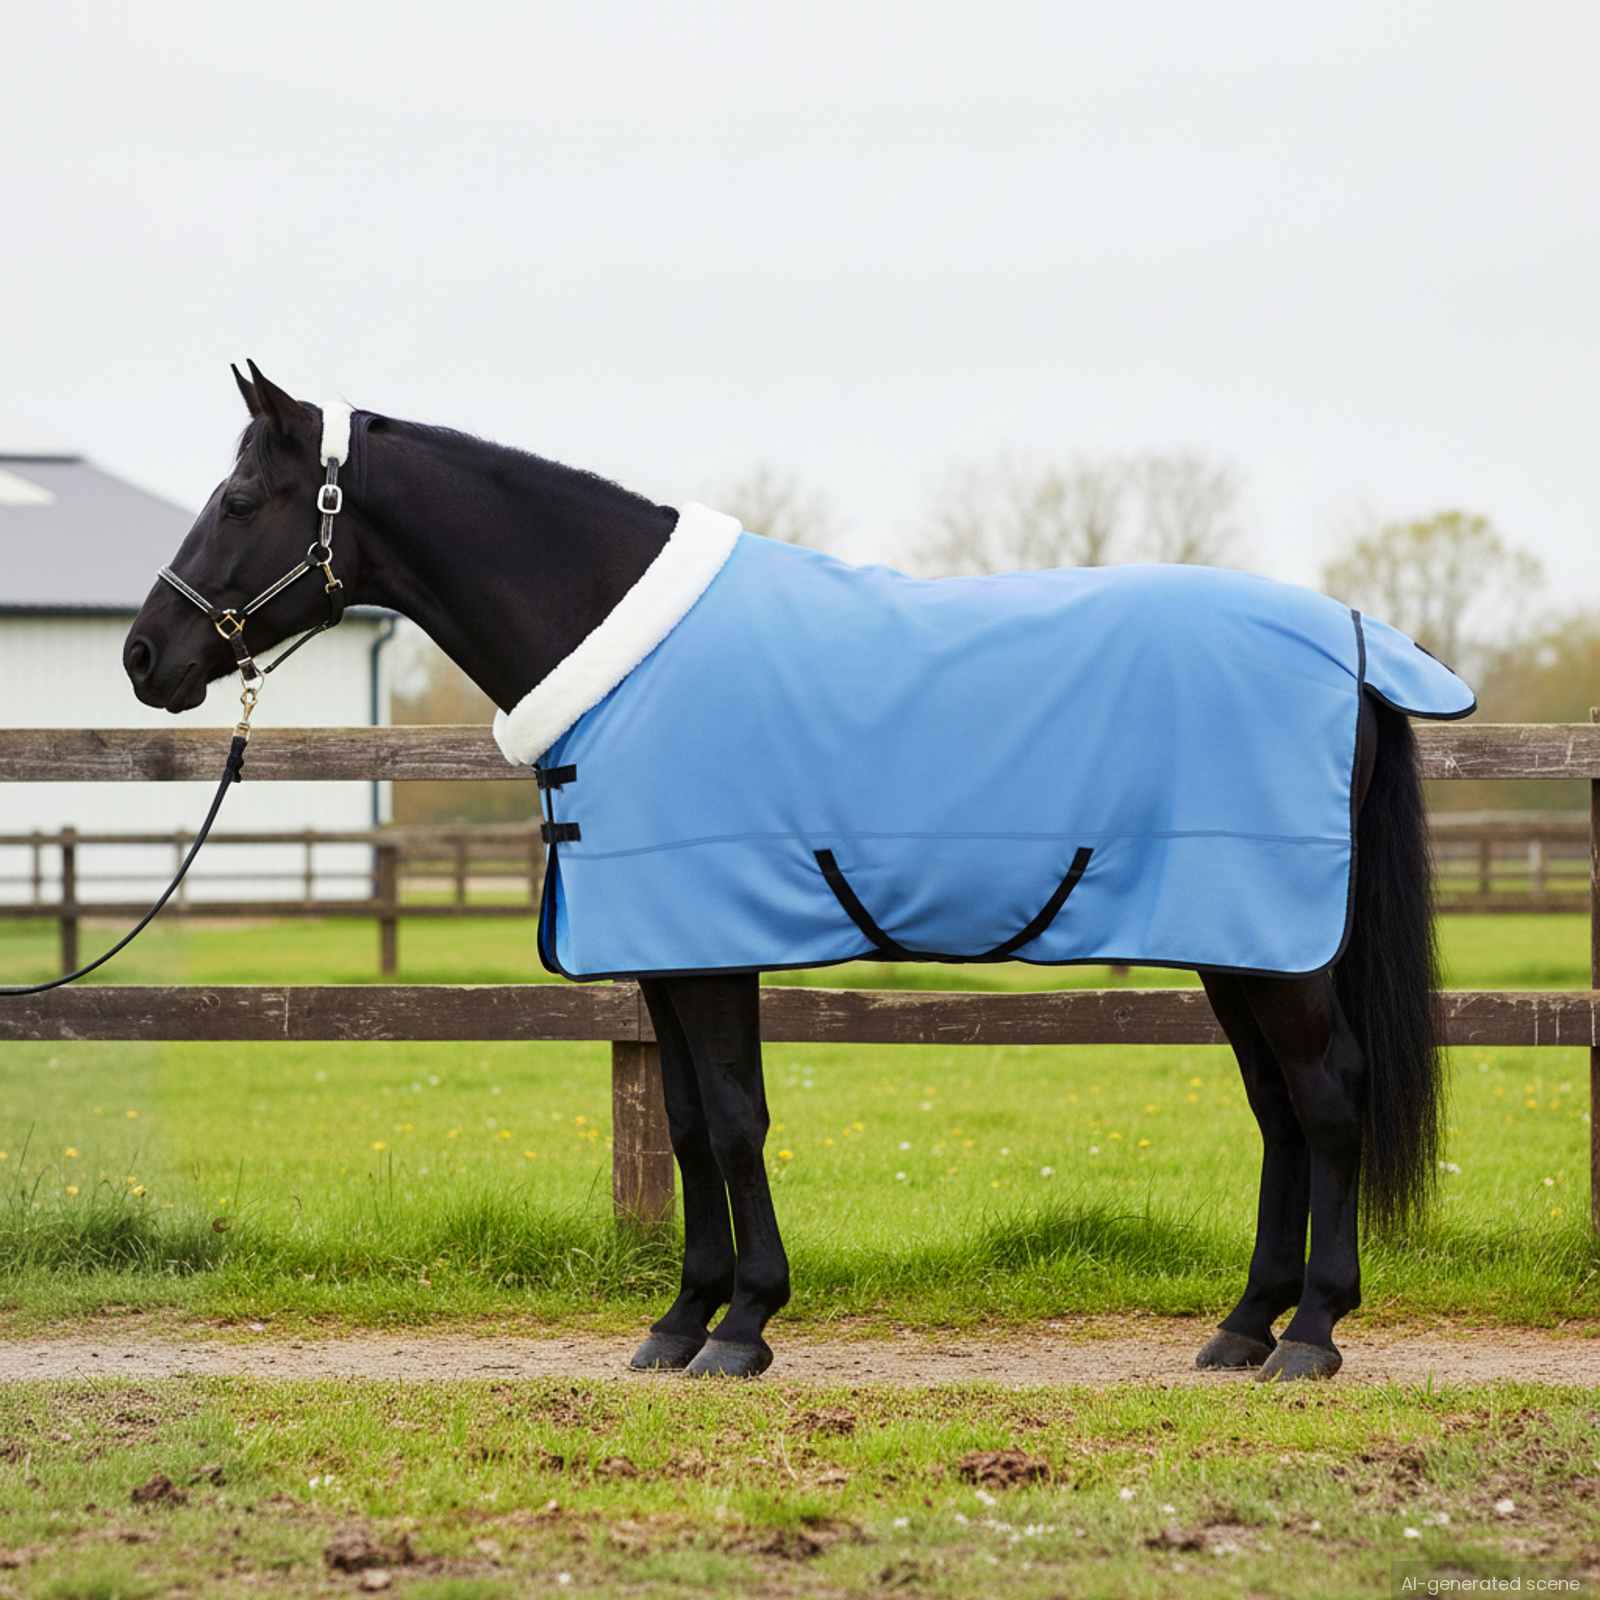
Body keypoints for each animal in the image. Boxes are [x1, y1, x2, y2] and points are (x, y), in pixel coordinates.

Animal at [125, 363, 1466, 1382]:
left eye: (240, 496)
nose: (145, 654)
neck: (619, 649)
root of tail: (1355, 642)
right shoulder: (665, 955)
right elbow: (682, 1126)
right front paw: (681, 1321)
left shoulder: (710, 946)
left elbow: (730, 1121)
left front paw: (745, 1326)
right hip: (1240, 942)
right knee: (1278, 1109)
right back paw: (1243, 1327)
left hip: (1277, 948)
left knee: (1327, 1098)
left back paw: (1312, 1333)